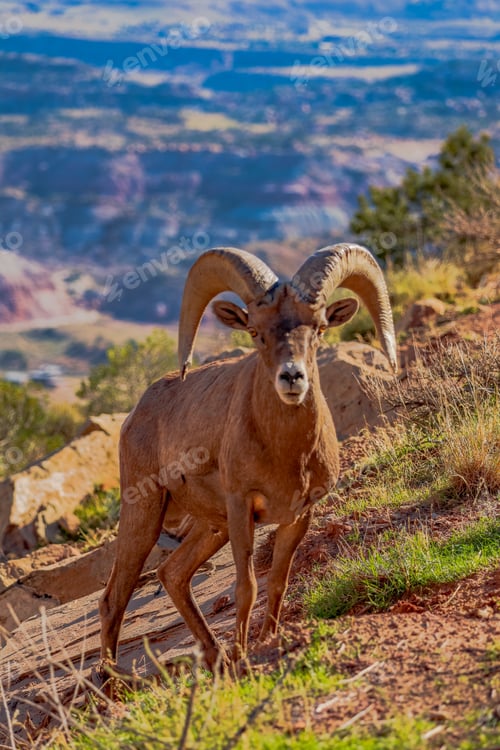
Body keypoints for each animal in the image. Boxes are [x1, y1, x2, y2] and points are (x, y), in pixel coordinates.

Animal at [97, 243, 396, 680]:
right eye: (256, 332)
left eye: (320, 328)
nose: (292, 378)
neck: (286, 454)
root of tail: (136, 412)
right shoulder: (242, 509)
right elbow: (246, 588)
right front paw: (242, 659)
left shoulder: (297, 516)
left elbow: (277, 583)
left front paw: (267, 642)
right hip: (144, 516)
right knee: (114, 598)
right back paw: (112, 684)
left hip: (210, 527)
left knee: (173, 575)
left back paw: (214, 657)